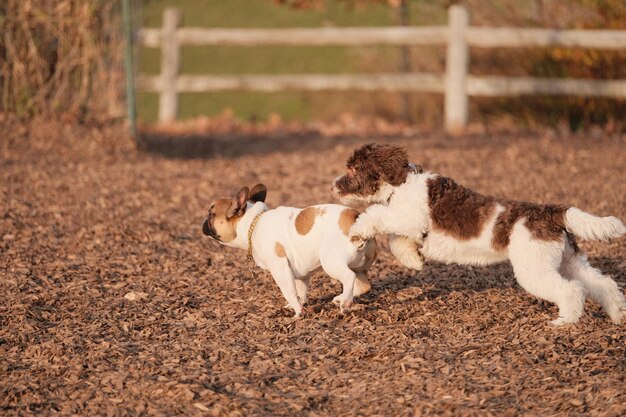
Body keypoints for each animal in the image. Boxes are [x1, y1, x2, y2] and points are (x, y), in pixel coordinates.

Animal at [202, 183, 372, 316]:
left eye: (211, 214)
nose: (203, 222)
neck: (253, 223)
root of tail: (356, 220)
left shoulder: (280, 268)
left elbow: (289, 290)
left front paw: (298, 312)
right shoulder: (301, 273)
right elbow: (301, 290)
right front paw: (299, 304)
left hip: (331, 262)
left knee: (349, 277)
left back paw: (345, 303)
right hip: (359, 267)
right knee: (364, 285)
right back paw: (341, 298)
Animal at [330, 143, 620, 324]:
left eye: (353, 169)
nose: (332, 186)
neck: (400, 183)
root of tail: (552, 213)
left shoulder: (408, 218)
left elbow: (377, 216)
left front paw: (357, 230)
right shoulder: (409, 224)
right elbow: (395, 239)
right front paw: (414, 259)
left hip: (535, 268)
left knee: (572, 290)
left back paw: (564, 322)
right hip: (568, 260)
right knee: (603, 283)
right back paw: (618, 314)